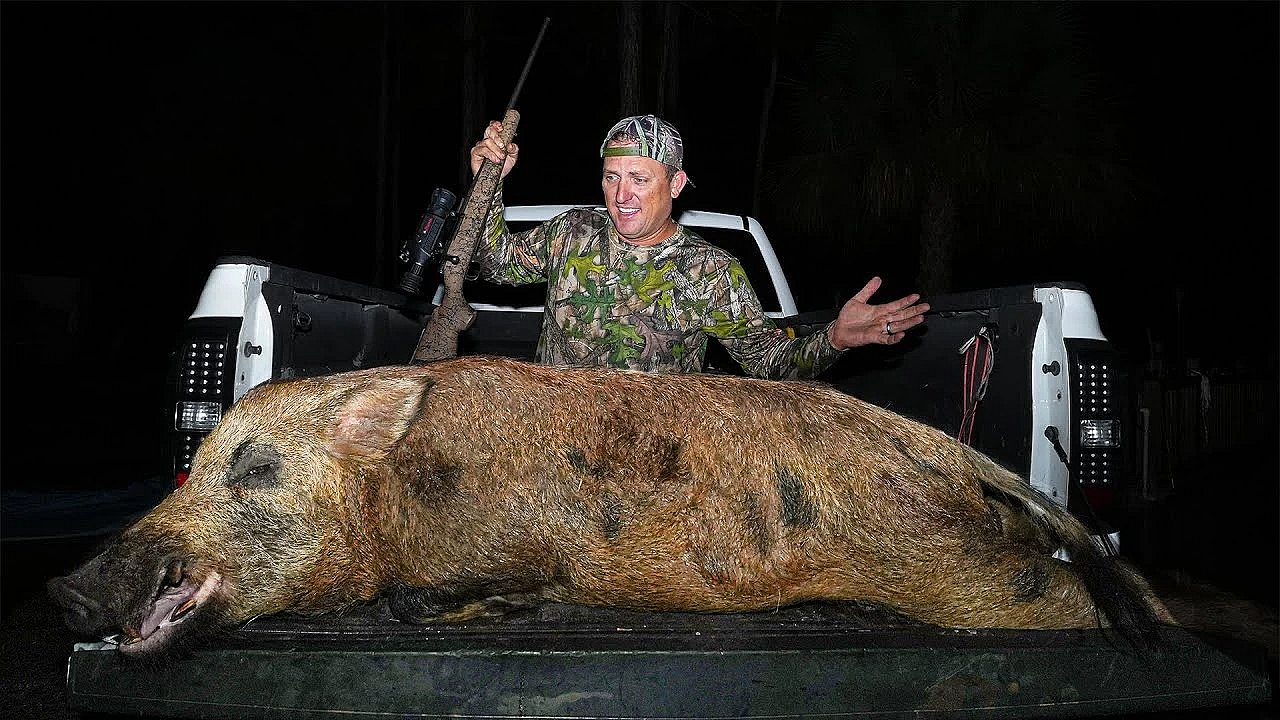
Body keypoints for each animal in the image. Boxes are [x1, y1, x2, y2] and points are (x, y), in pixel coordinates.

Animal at [49, 355, 1172, 656]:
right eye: (200, 460)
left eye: (255, 467)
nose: (63, 594)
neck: (397, 505)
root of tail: (949, 451)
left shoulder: (522, 546)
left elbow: (432, 600)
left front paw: (506, 610)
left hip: (956, 567)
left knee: (1101, 599)